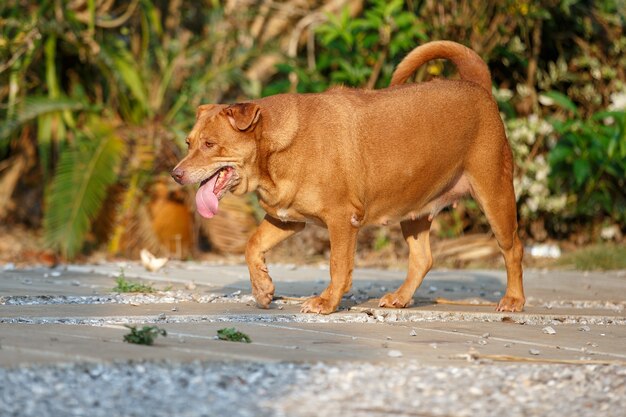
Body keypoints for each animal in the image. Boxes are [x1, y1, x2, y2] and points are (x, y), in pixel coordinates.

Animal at [169, 41, 520, 312]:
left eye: (209, 144)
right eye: (188, 142)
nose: (175, 174)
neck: (275, 154)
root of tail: (476, 85)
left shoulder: (342, 219)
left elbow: (338, 266)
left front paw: (326, 302)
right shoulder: (286, 219)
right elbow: (252, 245)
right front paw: (262, 288)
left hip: (495, 195)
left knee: (513, 249)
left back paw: (514, 300)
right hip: (415, 209)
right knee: (423, 259)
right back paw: (401, 298)